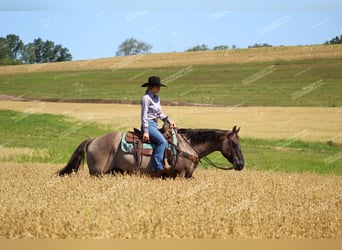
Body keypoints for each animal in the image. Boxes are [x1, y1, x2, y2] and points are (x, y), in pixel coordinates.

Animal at [56, 125, 243, 178]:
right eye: (234, 143)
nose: (241, 164)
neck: (187, 146)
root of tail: (93, 140)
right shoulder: (185, 175)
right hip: (97, 174)